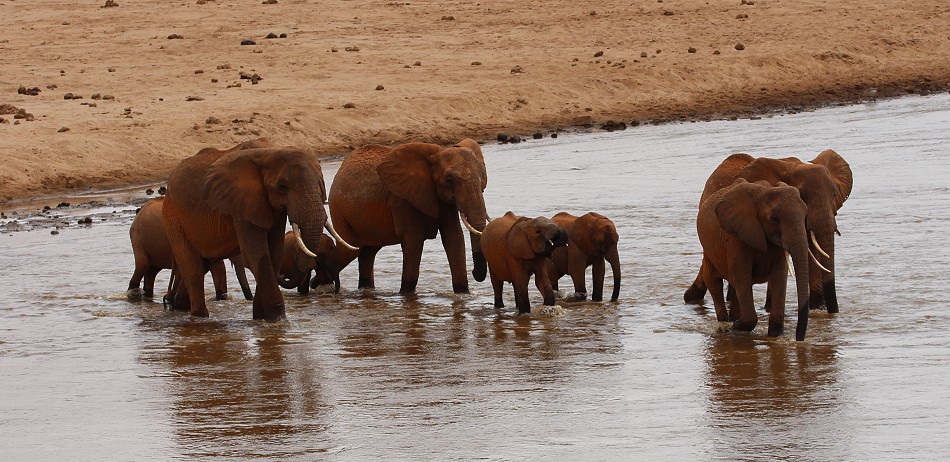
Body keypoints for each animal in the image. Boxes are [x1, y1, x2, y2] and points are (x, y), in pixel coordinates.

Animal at [162, 137, 352, 318]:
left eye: (320, 182)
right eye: (282, 187)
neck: (270, 151)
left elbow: (274, 252)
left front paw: (261, 318)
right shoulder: (241, 202)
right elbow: (257, 253)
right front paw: (276, 319)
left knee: (202, 266)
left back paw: (180, 308)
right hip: (174, 218)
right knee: (193, 271)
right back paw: (199, 317)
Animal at [330, 139, 490, 294]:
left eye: (482, 177)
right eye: (449, 180)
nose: (474, 272)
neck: (436, 154)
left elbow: (454, 238)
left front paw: (464, 294)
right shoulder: (402, 200)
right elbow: (413, 240)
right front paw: (406, 295)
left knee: (368, 252)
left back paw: (366, 289)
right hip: (338, 209)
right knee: (349, 251)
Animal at [696, 179, 820, 342]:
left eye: (805, 215)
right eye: (774, 219)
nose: (799, 339)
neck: (763, 194)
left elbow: (779, 277)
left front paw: (776, 335)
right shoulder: (737, 238)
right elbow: (742, 278)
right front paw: (735, 327)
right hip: (709, 251)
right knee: (714, 282)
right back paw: (724, 325)